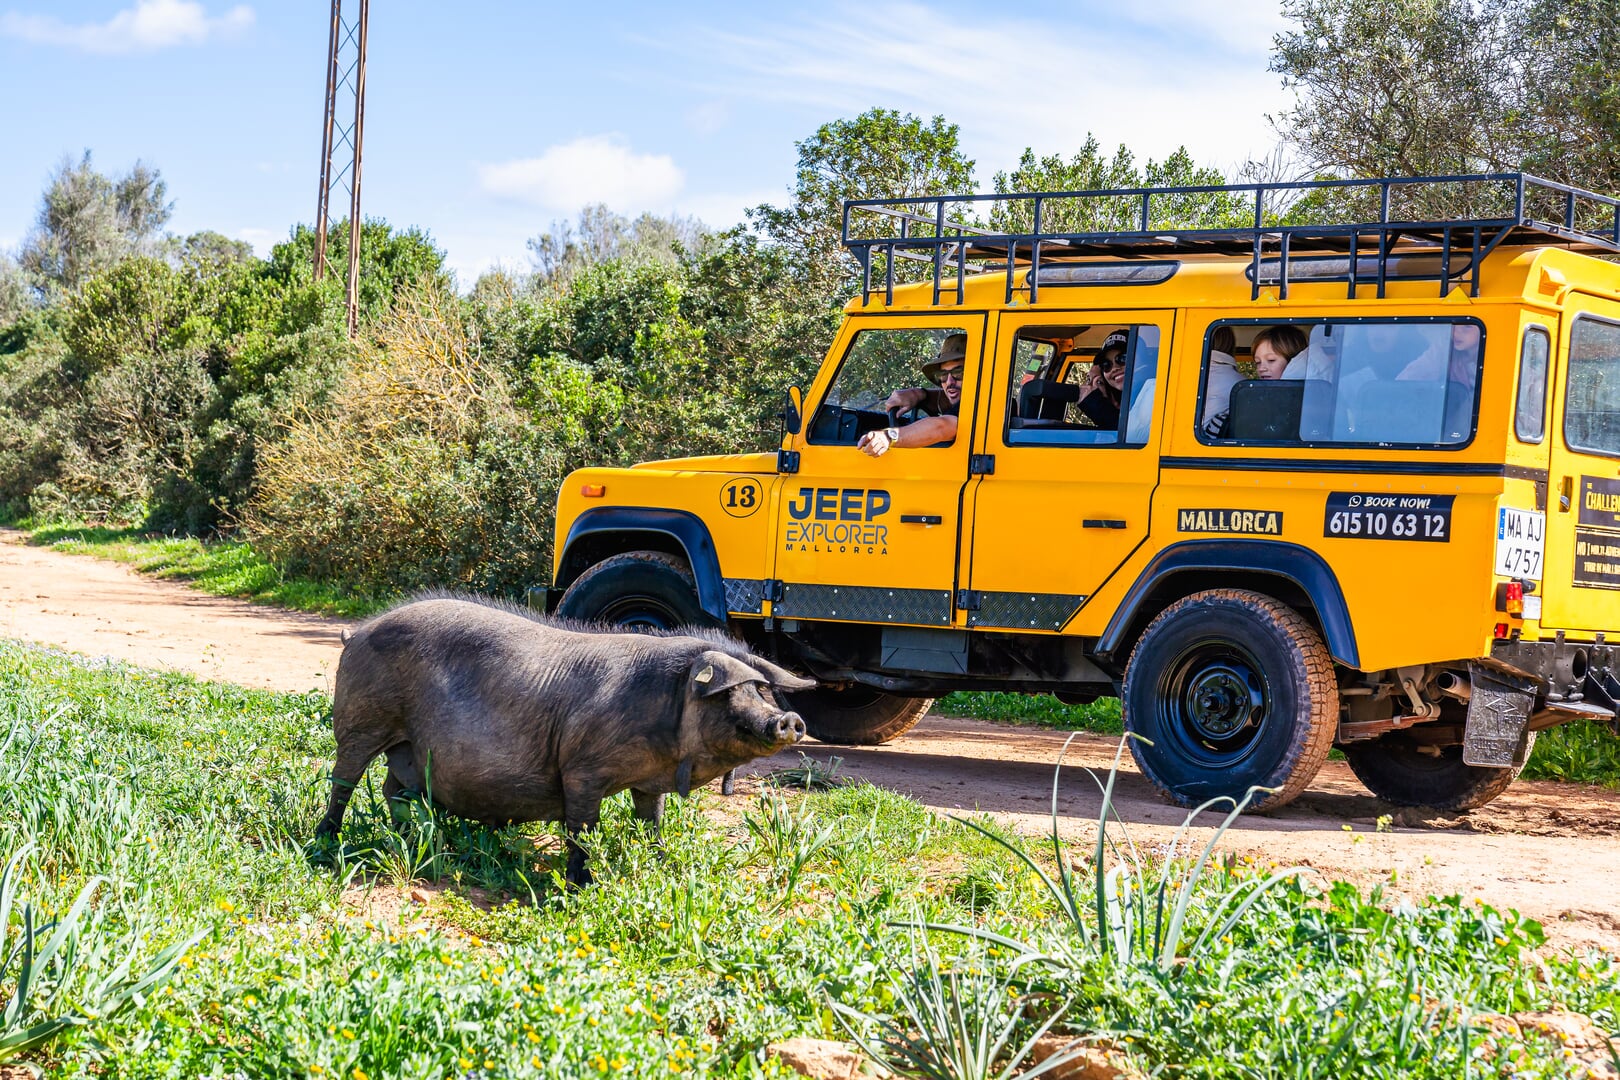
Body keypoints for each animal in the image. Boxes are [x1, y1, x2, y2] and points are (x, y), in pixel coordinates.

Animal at [314, 596, 814, 886]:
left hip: (408, 752)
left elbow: (651, 822)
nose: (789, 719)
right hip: (361, 720)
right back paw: (326, 843)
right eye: (730, 692)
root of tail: (354, 632)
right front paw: (581, 884)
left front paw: (662, 866)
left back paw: (415, 840)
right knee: (344, 780)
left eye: (762, 690)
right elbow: (583, 831)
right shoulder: (582, 770)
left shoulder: (647, 780)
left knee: (393, 790)